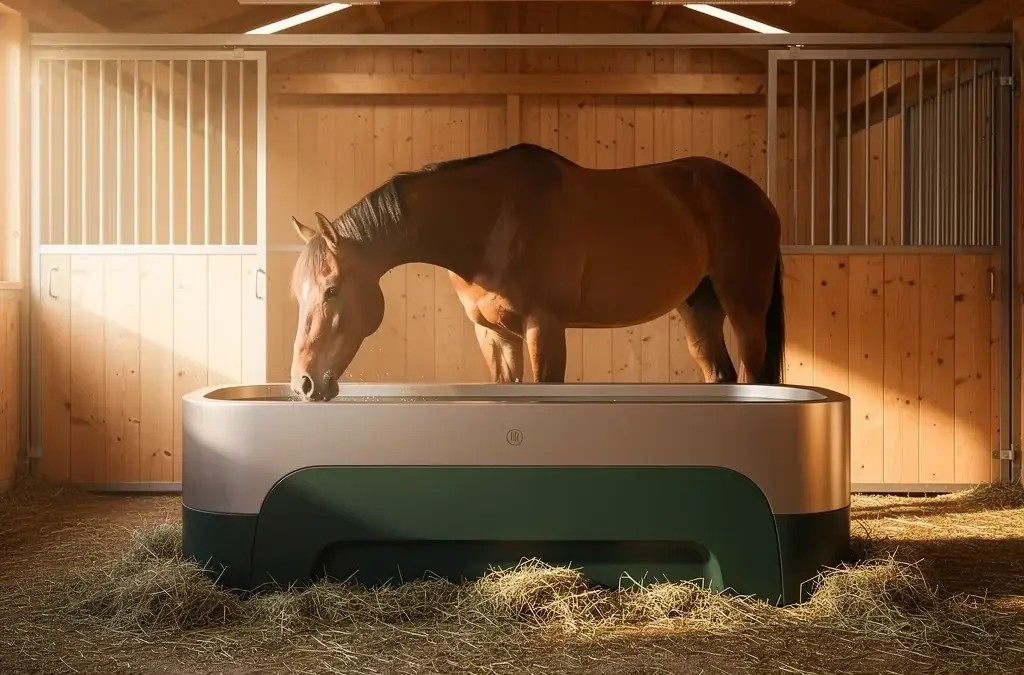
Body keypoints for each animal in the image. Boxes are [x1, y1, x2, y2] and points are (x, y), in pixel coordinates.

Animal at [288, 142, 785, 401]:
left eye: (331, 290)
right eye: (299, 295)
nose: (304, 383)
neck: (493, 221)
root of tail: (755, 194)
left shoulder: (543, 327)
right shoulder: (494, 335)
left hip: (745, 309)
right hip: (699, 309)